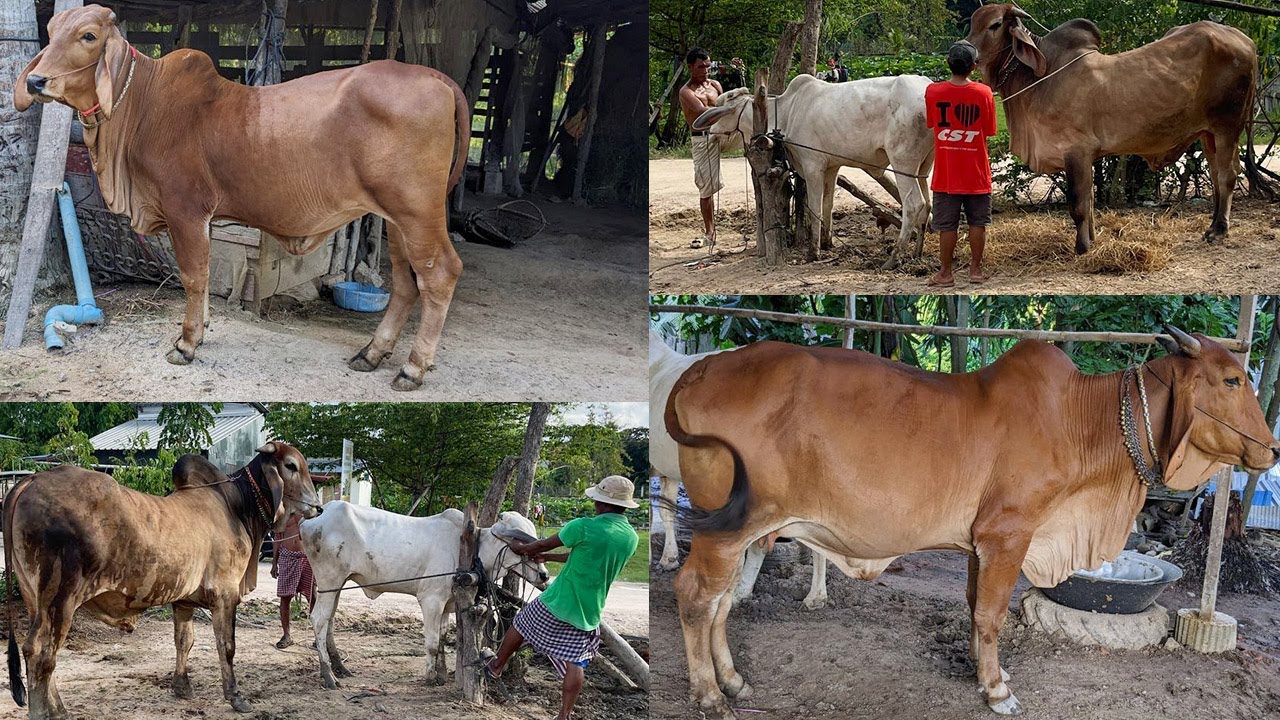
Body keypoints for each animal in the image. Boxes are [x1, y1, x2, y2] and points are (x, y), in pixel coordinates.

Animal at [2, 442, 323, 720]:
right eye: (291, 465)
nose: (318, 507)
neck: (236, 506)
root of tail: (29, 481)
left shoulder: (184, 600)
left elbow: (184, 641)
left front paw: (182, 687)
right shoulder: (226, 595)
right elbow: (227, 646)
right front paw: (235, 696)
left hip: (34, 600)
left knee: (40, 654)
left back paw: (59, 710)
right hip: (61, 598)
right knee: (41, 653)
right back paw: (43, 712)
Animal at [13, 5, 469, 391]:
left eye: (88, 35)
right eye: (50, 31)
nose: (36, 81)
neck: (143, 105)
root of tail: (438, 79)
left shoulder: (185, 210)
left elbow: (193, 276)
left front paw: (187, 343)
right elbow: (203, 273)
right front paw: (202, 330)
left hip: (418, 212)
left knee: (440, 275)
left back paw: (412, 368)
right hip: (396, 219)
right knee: (406, 283)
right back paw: (372, 353)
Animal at [299, 502, 549, 689]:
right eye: (520, 543)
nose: (545, 576)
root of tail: (313, 518)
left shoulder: (447, 603)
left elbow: (442, 637)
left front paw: (442, 674)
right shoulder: (431, 600)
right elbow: (431, 642)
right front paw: (429, 677)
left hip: (337, 584)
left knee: (329, 620)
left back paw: (340, 667)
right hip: (330, 580)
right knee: (319, 619)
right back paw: (328, 674)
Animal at [691, 74, 935, 263]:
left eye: (723, 110)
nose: (709, 132)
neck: (788, 110)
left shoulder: (812, 165)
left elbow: (814, 207)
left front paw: (813, 252)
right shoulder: (832, 166)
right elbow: (827, 205)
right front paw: (827, 243)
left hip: (903, 162)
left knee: (914, 204)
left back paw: (894, 257)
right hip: (924, 166)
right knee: (928, 205)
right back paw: (917, 253)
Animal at [964, 4, 1257, 253]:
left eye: (995, 24)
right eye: (972, 24)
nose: (963, 52)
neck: (1041, 78)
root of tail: (1246, 40)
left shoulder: (1076, 151)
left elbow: (1078, 204)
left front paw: (1082, 248)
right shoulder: (1086, 158)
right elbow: (1090, 201)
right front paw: (1092, 240)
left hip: (1227, 125)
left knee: (1227, 175)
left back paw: (1219, 231)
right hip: (1208, 134)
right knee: (1217, 174)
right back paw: (1213, 226)